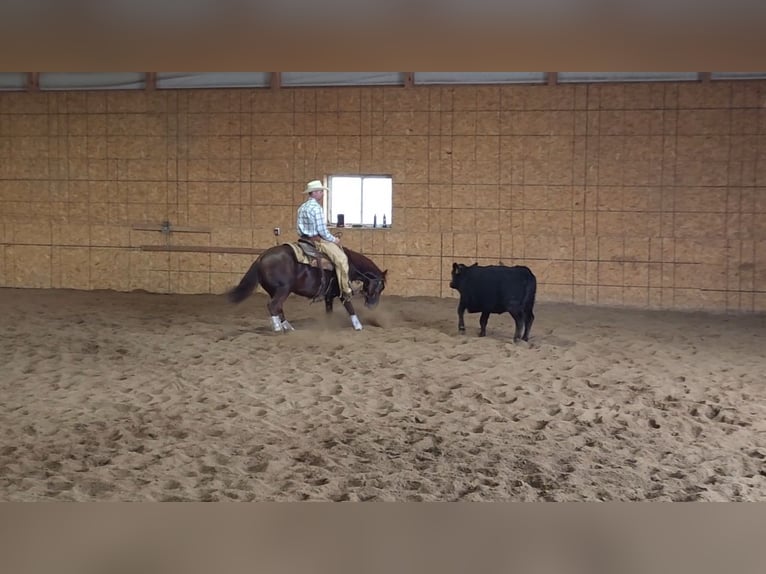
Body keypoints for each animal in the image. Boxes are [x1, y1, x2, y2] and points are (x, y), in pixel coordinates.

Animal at [226, 243, 384, 332]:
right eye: (378, 288)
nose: (372, 306)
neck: (349, 264)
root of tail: (261, 257)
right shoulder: (342, 291)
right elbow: (350, 307)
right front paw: (358, 326)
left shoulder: (329, 296)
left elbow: (329, 311)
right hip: (283, 290)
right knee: (273, 305)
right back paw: (278, 328)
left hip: (275, 291)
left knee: (278, 307)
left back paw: (288, 327)